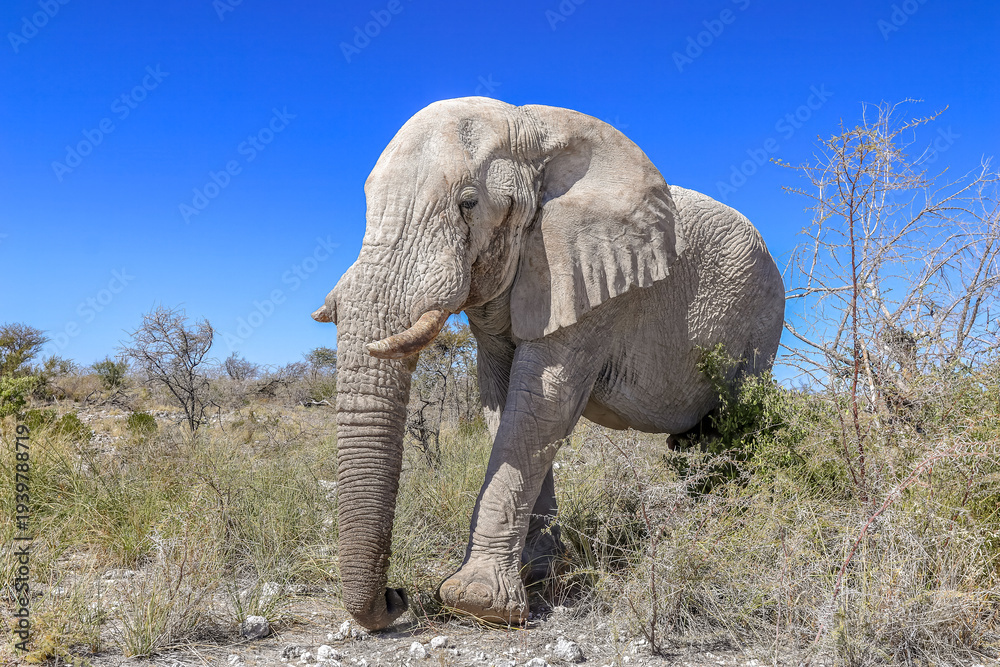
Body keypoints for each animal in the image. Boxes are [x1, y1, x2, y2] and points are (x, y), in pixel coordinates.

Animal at [312, 97, 785, 630]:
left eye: (468, 204)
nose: (397, 597)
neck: (533, 130)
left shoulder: (593, 278)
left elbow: (543, 403)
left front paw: (477, 603)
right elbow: (501, 402)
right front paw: (538, 573)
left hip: (761, 322)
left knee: (728, 423)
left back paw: (713, 525)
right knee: (693, 441)